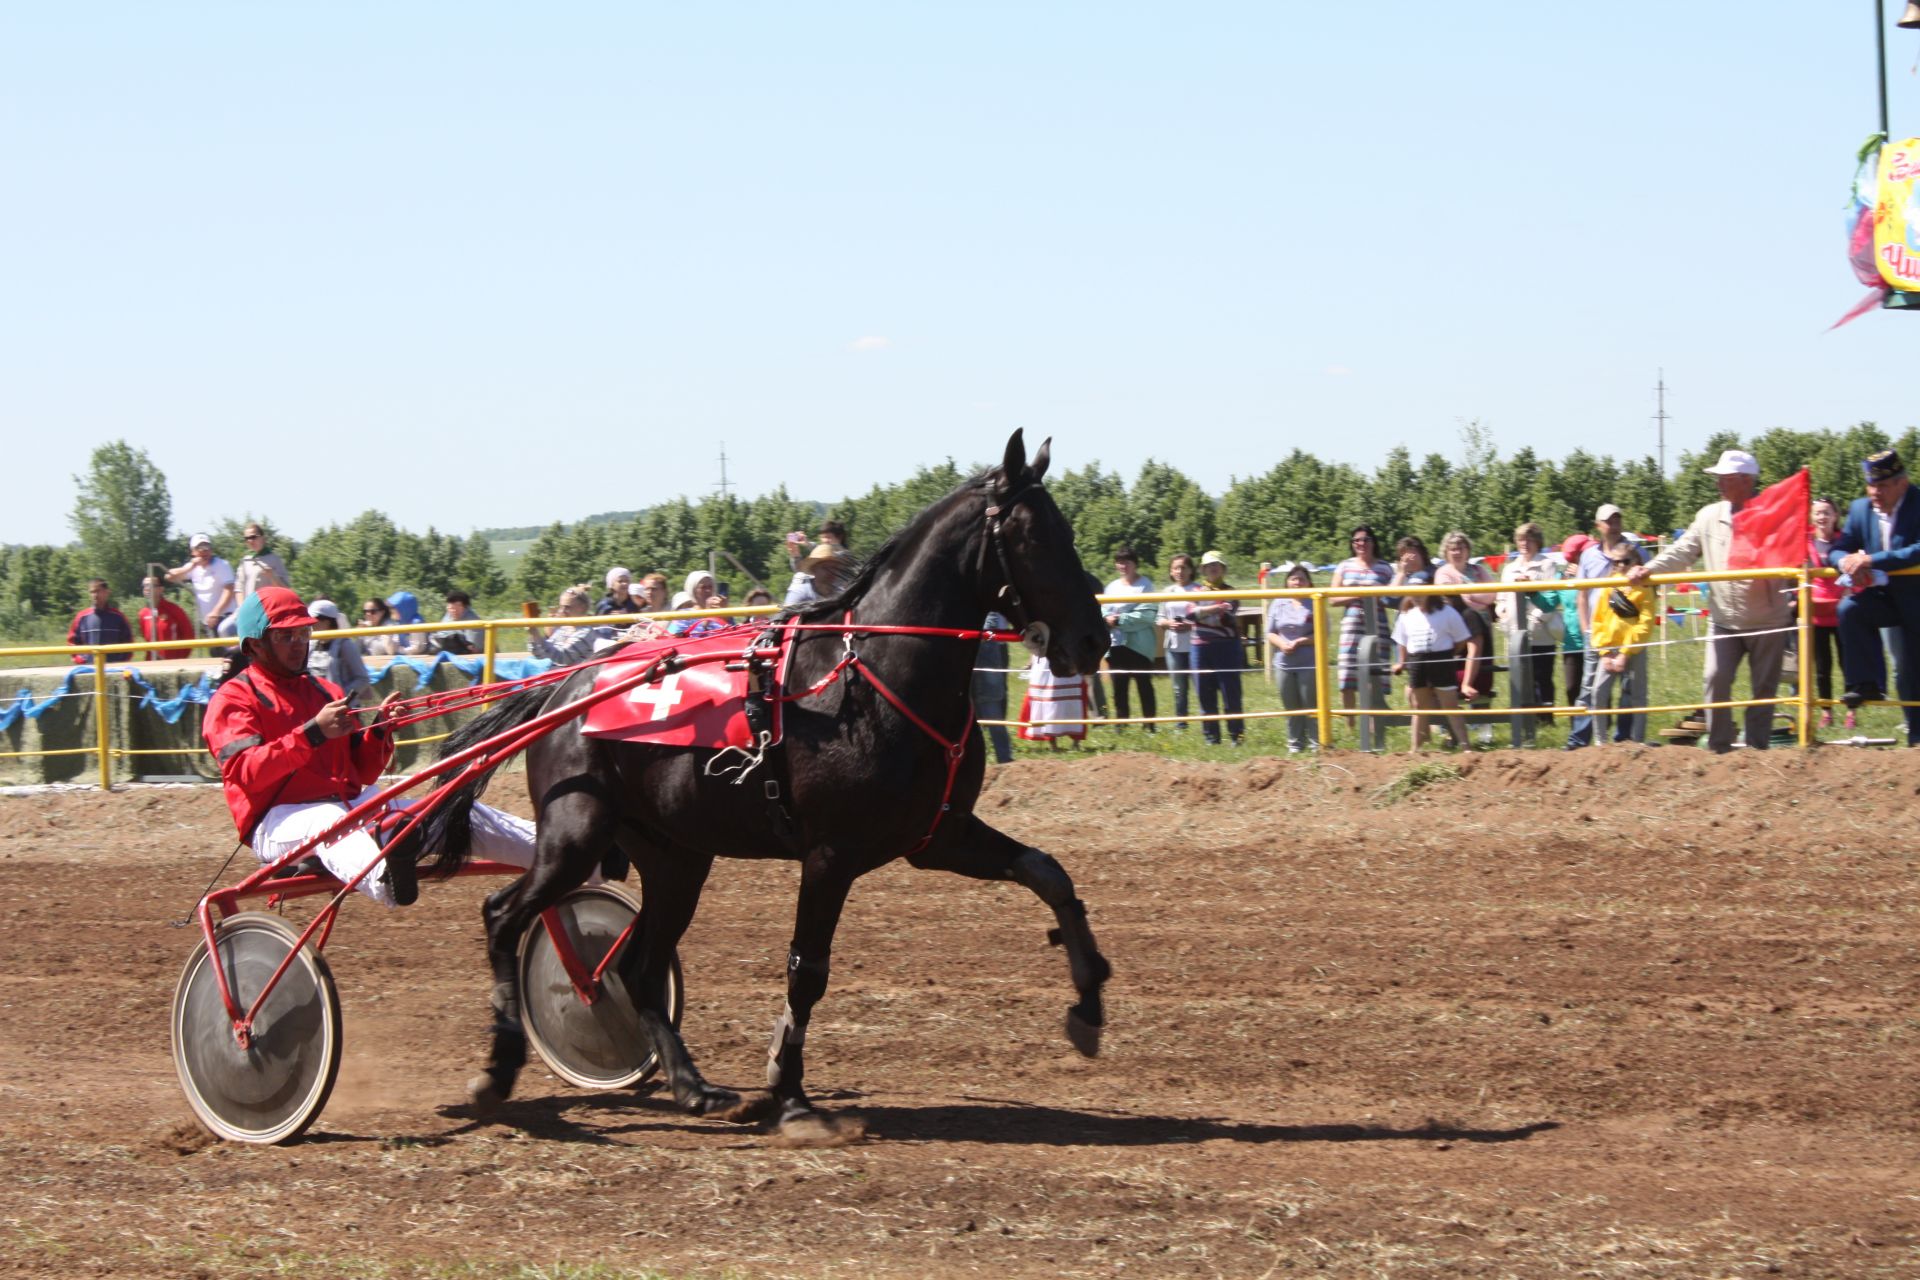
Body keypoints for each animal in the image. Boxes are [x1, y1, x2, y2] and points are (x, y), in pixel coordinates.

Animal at [420, 429, 1113, 1143]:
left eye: (1067, 530)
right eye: (1033, 536)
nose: (1094, 639)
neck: (867, 679)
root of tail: (566, 688)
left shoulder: (938, 834)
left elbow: (1049, 872)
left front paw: (1088, 1001)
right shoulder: (831, 855)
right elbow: (807, 970)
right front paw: (792, 1095)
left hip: (675, 857)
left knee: (639, 967)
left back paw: (697, 1088)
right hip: (575, 834)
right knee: (504, 916)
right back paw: (498, 1069)